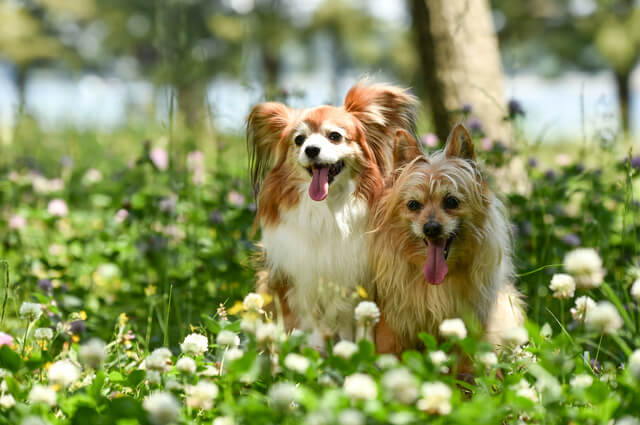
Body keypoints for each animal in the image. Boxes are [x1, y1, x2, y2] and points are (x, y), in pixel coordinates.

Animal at [246, 80, 420, 348]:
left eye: (335, 137)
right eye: (299, 140)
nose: (311, 150)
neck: (328, 209)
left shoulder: (364, 286)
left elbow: (364, 327)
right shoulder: (302, 283)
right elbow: (314, 327)